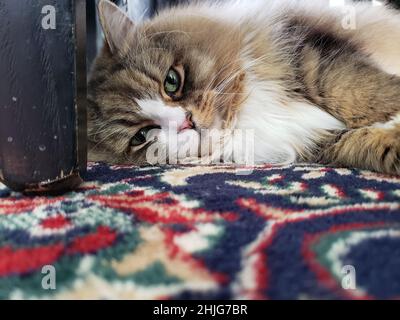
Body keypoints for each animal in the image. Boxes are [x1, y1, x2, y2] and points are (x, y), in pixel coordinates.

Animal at [89, 0, 400, 175]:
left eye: (171, 82)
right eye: (141, 136)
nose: (186, 122)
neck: (245, 116)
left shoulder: (312, 57)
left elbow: (362, 94)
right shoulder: (316, 139)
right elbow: (364, 143)